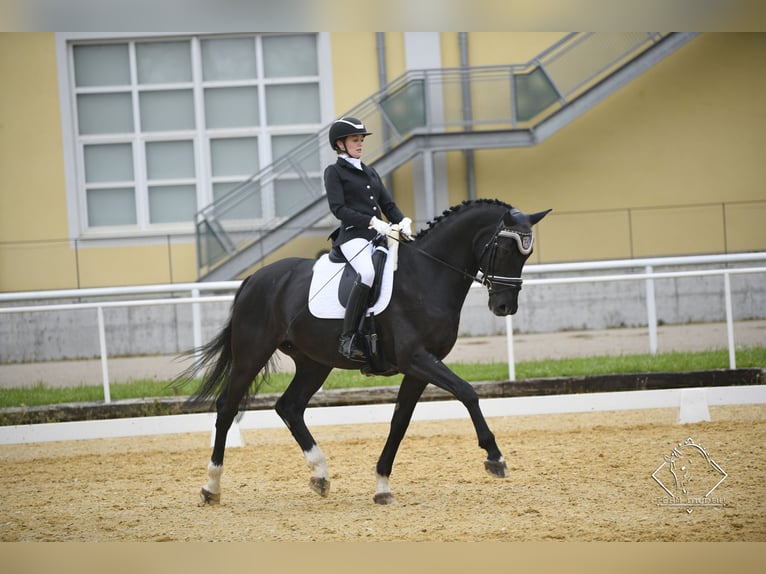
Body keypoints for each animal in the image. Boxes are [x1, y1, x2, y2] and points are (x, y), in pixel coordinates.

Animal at [182, 200, 548, 506]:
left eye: (526, 254)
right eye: (505, 248)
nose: (504, 307)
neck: (427, 275)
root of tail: (254, 278)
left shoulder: (418, 368)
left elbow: (400, 421)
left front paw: (382, 486)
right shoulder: (417, 358)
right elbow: (467, 392)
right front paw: (495, 457)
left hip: (314, 362)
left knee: (289, 407)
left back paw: (320, 475)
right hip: (252, 353)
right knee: (227, 408)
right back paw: (211, 487)